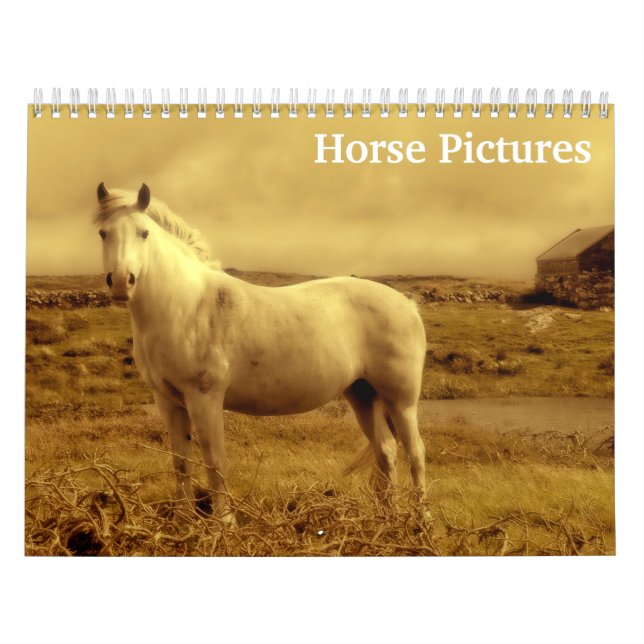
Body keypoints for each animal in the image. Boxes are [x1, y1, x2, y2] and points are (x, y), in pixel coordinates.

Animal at [94, 182, 427, 516]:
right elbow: (181, 464)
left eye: (144, 233)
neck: (186, 305)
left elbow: (215, 463)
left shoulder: (205, 399)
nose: (121, 282)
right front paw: (184, 520)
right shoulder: (168, 402)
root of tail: (408, 304)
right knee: (386, 450)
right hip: (363, 394)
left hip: (401, 401)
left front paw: (224, 522)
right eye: (103, 233)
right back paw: (388, 516)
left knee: (415, 453)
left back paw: (420, 519)